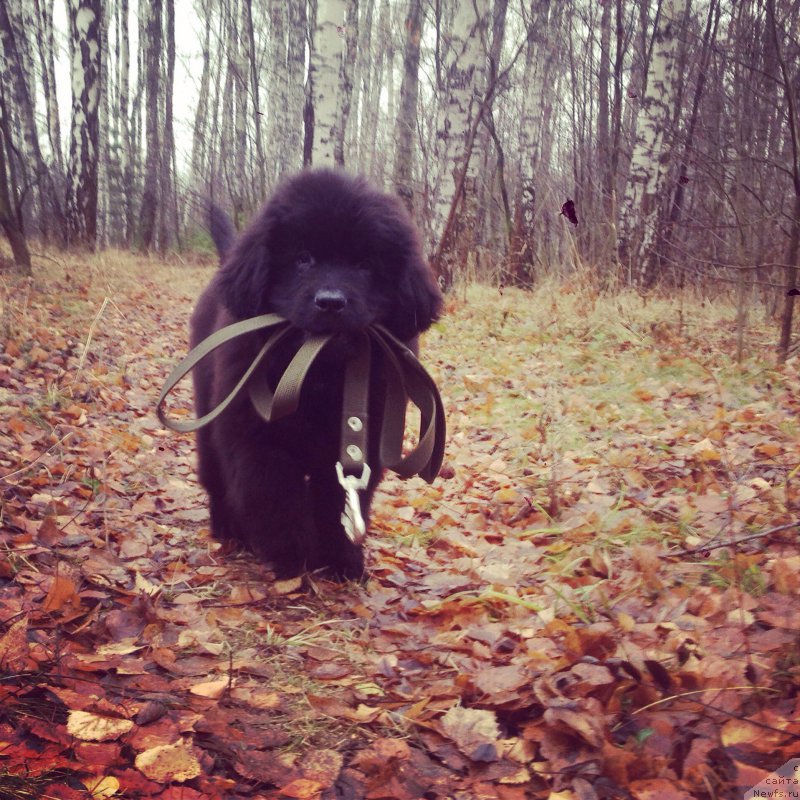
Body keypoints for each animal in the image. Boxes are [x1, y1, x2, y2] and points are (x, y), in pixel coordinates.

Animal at [192, 170, 444, 580]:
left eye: (365, 264)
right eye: (303, 259)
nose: (330, 302)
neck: (318, 372)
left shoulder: (361, 439)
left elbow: (337, 500)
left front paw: (339, 559)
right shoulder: (256, 433)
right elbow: (272, 491)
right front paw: (290, 554)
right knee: (216, 476)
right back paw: (228, 528)